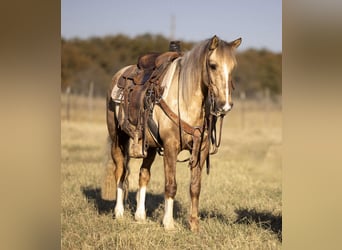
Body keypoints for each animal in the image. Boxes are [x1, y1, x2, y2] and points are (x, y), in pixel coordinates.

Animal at [103, 34, 242, 230]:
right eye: (213, 65)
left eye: (233, 66)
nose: (226, 105)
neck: (185, 99)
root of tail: (120, 74)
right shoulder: (170, 147)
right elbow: (171, 185)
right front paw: (168, 223)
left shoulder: (201, 148)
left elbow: (195, 187)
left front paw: (193, 225)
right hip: (117, 138)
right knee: (120, 172)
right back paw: (119, 213)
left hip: (150, 147)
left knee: (143, 174)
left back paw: (140, 215)